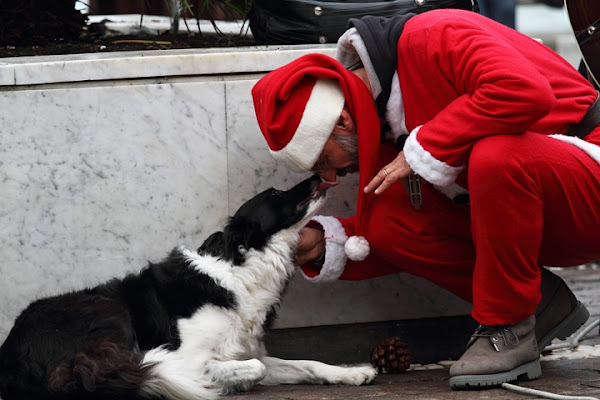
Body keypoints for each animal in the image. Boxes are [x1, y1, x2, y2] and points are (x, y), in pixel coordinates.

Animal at [0, 176, 376, 400]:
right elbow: (251, 367)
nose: (318, 175)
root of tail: (12, 356)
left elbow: (306, 363)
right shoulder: (190, 354)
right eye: (274, 194)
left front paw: (352, 373)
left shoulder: (246, 348)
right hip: (107, 311)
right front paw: (226, 381)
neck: (240, 268)